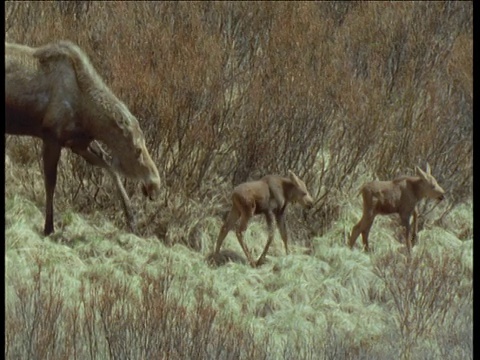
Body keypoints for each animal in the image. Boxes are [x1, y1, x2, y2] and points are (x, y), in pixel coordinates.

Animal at [5, 40, 161, 235]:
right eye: (137, 150)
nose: (155, 184)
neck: (89, 118)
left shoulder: (77, 144)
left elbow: (109, 166)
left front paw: (131, 218)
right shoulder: (51, 137)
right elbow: (50, 183)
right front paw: (49, 227)